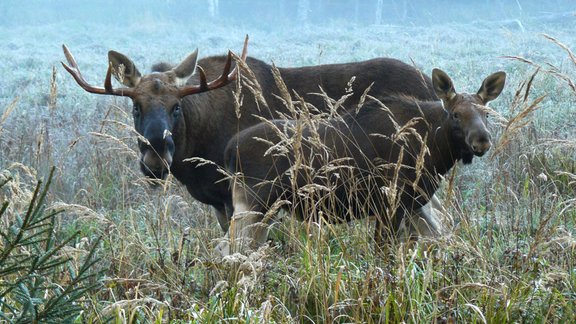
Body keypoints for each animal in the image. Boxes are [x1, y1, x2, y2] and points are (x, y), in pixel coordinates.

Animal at [59, 37, 446, 238]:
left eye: (176, 107)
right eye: (135, 107)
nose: (154, 159)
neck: (196, 153)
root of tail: (436, 94)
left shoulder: (243, 192)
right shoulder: (220, 201)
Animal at [220, 68, 504, 254]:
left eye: (487, 114)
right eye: (456, 114)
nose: (481, 140)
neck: (435, 149)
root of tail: (229, 149)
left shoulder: (413, 203)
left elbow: (438, 237)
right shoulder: (391, 203)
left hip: (265, 210)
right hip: (254, 203)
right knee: (228, 248)